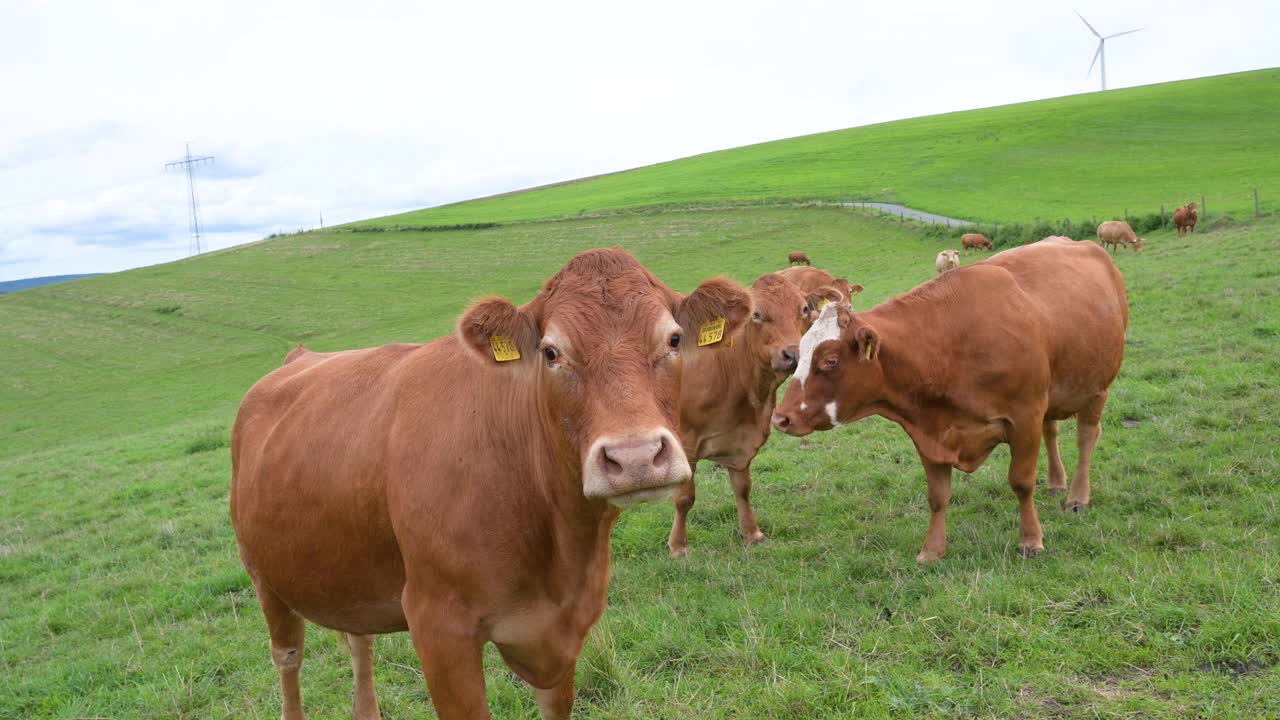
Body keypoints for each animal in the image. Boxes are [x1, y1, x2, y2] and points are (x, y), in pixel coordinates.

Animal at [230, 248, 747, 717]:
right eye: (551, 352)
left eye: (675, 339)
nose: (635, 457)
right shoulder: (438, 627)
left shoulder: (561, 634)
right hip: (263, 574)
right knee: (288, 658)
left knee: (360, 645)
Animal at [670, 270, 849, 556]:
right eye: (756, 314)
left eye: (803, 308)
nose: (792, 353)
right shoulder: (684, 442)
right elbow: (685, 497)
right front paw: (678, 547)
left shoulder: (742, 440)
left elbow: (742, 488)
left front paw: (751, 533)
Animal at [762, 235, 1126, 561]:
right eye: (800, 352)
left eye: (830, 361)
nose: (781, 417)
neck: (948, 348)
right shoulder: (929, 431)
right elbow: (937, 496)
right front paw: (932, 551)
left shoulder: (1024, 417)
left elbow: (1021, 482)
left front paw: (1031, 541)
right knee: (1052, 431)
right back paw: (1055, 482)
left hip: (1097, 388)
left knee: (1086, 437)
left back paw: (1077, 496)